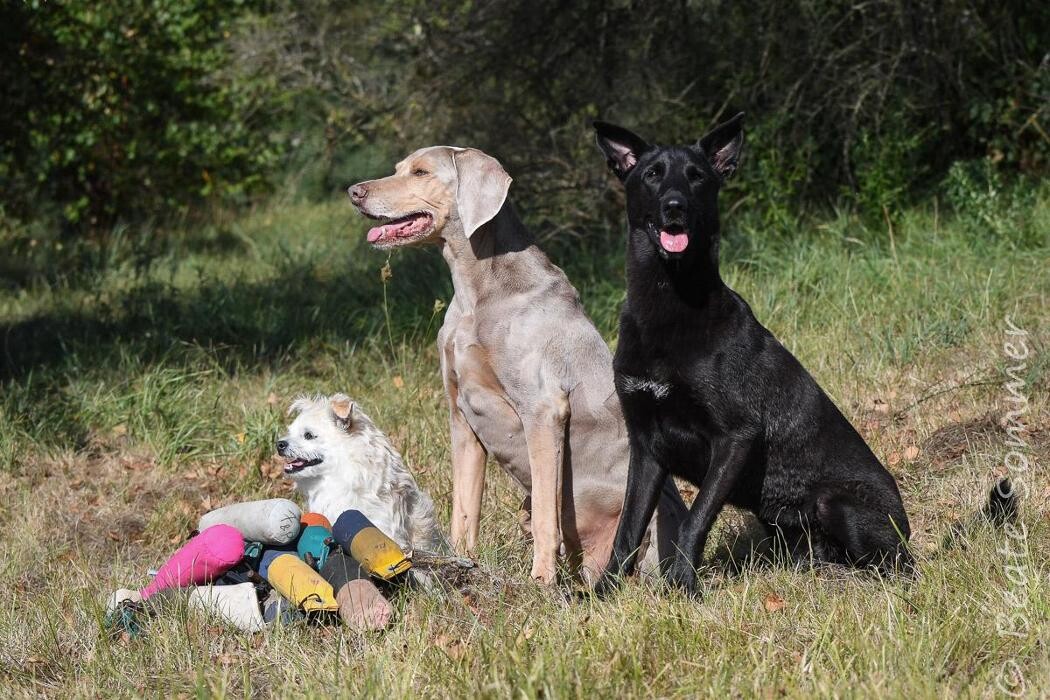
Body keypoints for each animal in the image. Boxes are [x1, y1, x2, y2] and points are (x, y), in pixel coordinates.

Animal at [596, 114, 915, 596]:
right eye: (652, 174)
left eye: (697, 177)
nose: (674, 206)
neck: (671, 302)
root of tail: (908, 529)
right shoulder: (647, 446)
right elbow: (627, 528)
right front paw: (601, 592)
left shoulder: (736, 437)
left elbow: (693, 520)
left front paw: (684, 588)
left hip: (837, 503)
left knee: (898, 566)